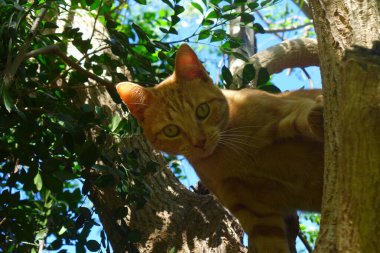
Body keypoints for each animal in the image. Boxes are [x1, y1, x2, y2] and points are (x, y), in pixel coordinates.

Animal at [116, 44, 324, 252]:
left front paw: (317, 117)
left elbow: (301, 116)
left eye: (202, 110)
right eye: (171, 130)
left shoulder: (289, 109)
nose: (199, 142)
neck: (230, 153)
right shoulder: (256, 213)